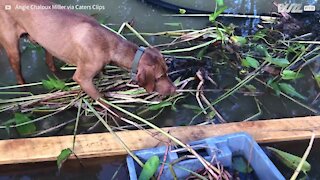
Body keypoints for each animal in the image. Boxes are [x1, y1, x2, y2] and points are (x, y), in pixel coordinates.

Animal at [0, 0, 175, 100]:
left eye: (167, 72)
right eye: (159, 77)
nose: (175, 89)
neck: (109, 43)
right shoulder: (82, 78)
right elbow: (103, 101)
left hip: (47, 42)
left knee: (49, 60)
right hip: (13, 49)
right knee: (19, 75)